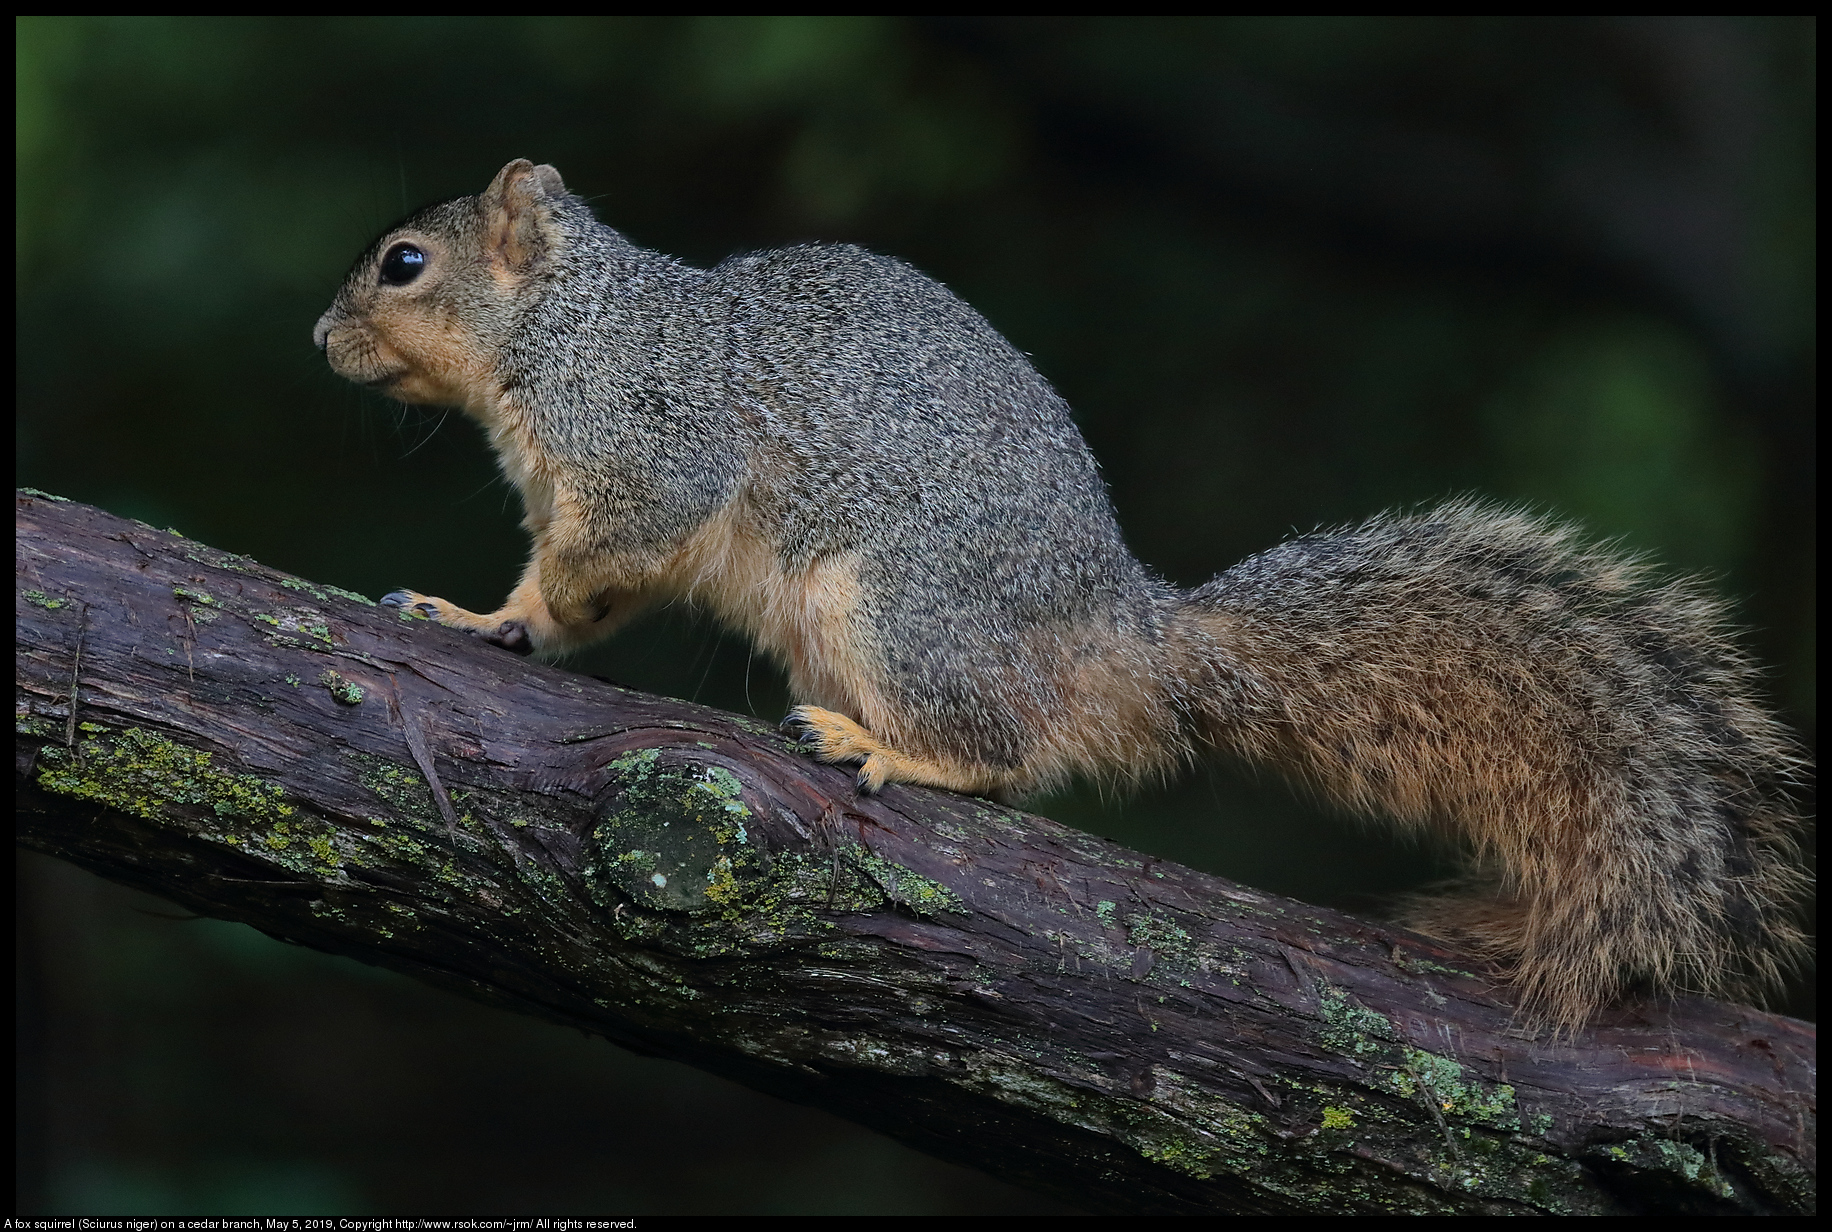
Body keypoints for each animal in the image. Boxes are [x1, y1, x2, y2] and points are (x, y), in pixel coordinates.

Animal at [311, 161, 1802, 1026]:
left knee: (1009, 752)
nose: (317, 337)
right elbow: (563, 603)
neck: (564, 326)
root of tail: (1127, 640)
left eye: (404, 263)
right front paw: (483, 619)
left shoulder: (644, 442)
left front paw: (512, 607)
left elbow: (614, 545)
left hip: (899, 605)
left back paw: (885, 748)